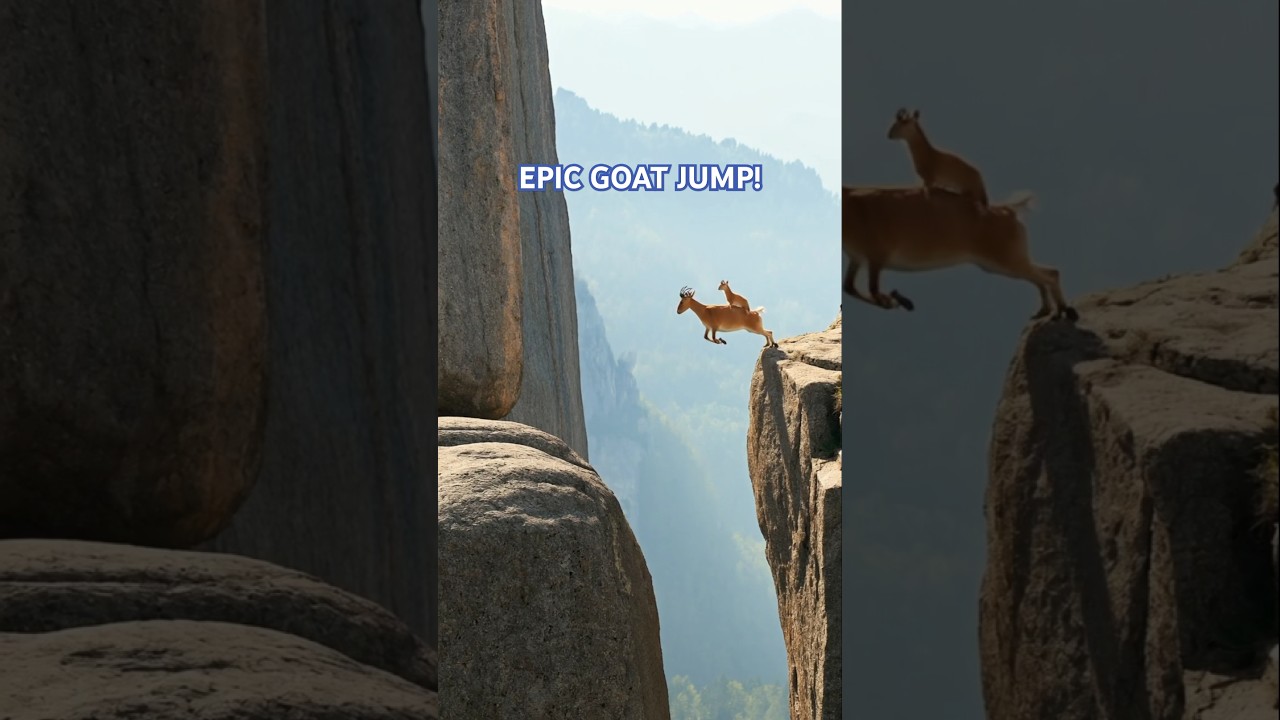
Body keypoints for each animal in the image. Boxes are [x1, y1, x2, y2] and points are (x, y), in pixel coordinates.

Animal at [842, 185, 1078, 321]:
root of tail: (1009, 211)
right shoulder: (857, 257)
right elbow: (849, 287)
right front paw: (895, 301)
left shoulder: (875, 254)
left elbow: (871, 288)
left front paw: (895, 301)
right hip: (1001, 261)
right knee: (1043, 274)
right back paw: (1045, 311)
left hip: (1004, 259)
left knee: (1050, 273)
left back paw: (1063, 310)